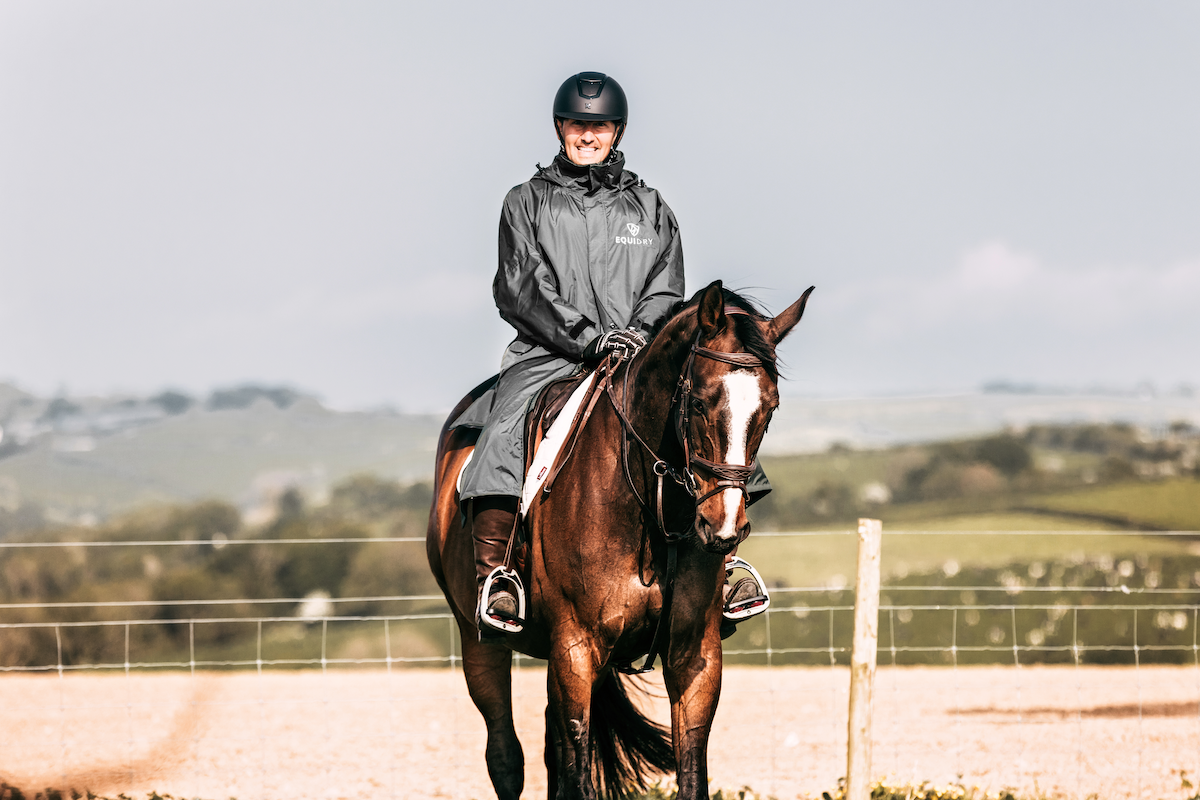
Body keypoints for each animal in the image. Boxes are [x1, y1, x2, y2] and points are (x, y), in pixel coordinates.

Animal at [424, 278, 816, 796]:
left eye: (769, 411)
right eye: (698, 402)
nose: (723, 527)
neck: (647, 507)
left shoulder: (694, 654)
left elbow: (690, 773)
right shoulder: (576, 650)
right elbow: (577, 769)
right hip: (480, 642)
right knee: (505, 755)